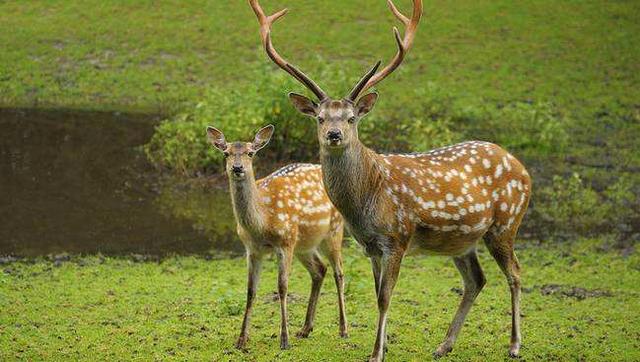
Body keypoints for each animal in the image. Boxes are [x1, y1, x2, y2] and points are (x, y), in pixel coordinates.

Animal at [206, 125, 348, 350]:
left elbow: (282, 287)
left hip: (333, 230)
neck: (262, 224)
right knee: (319, 269)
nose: (237, 167)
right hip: (304, 243)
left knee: (339, 272)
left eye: (250, 153)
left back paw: (343, 329)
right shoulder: (252, 250)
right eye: (226, 153)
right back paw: (305, 329)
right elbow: (250, 290)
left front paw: (284, 340)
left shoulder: (285, 242)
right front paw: (241, 339)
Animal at [252, 0, 532, 360]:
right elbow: (376, 295)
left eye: (351, 118)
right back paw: (444, 344)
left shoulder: (398, 237)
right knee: (476, 280)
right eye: (320, 117)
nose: (333, 134)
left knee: (515, 273)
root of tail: (522, 167)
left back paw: (514, 344)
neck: (366, 202)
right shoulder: (370, 246)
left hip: (505, 224)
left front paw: (376, 352)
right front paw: (381, 345)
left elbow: (385, 297)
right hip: (463, 239)